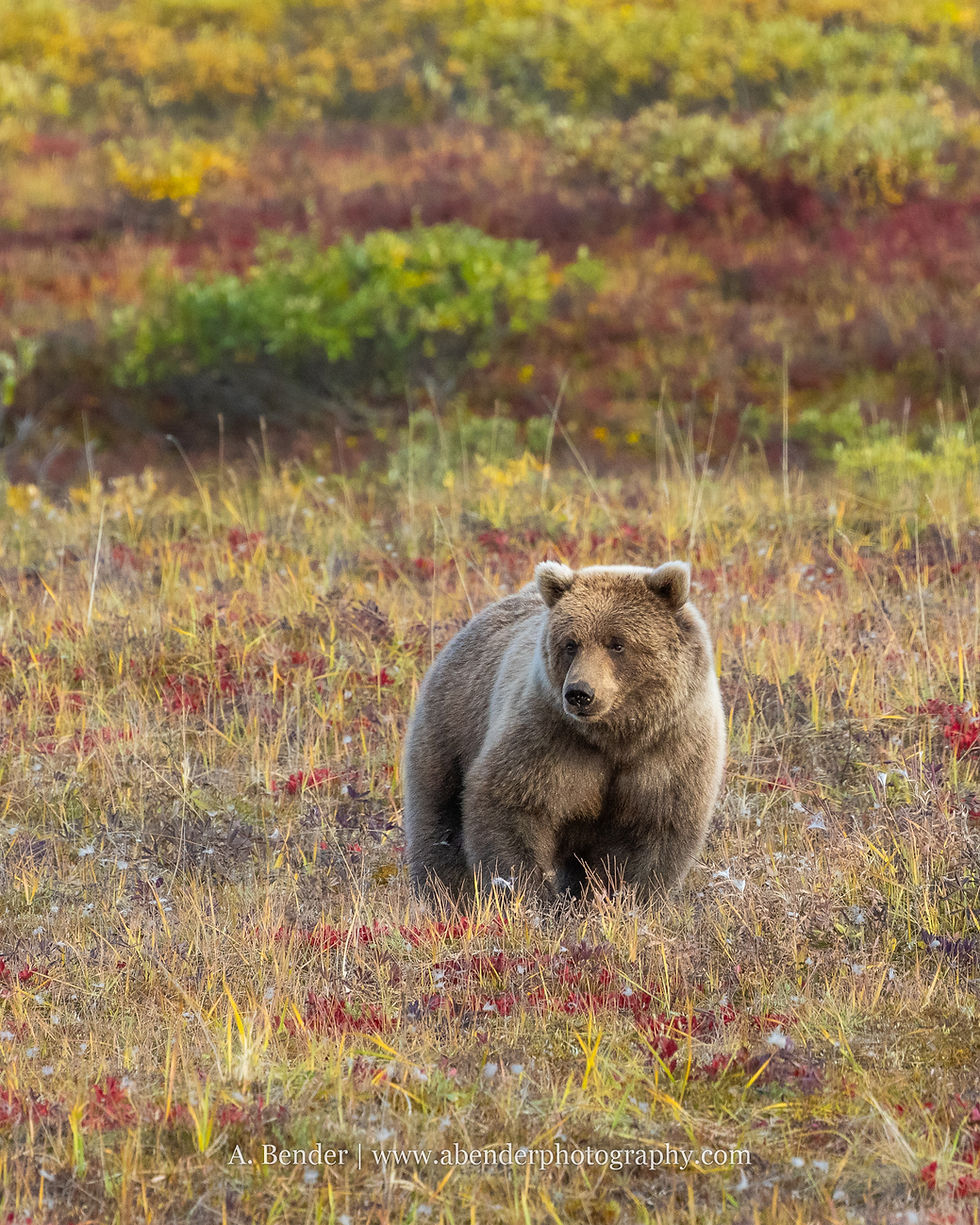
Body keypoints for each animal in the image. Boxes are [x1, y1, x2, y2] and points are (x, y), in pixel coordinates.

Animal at [401, 560, 726, 905]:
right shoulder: (548, 739)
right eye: (571, 643)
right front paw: (528, 895)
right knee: (438, 816)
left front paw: (630, 899)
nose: (580, 693)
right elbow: (510, 806)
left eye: (618, 643)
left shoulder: (669, 751)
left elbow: (656, 832)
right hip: (452, 723)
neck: (616, 736)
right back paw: (440, 893)